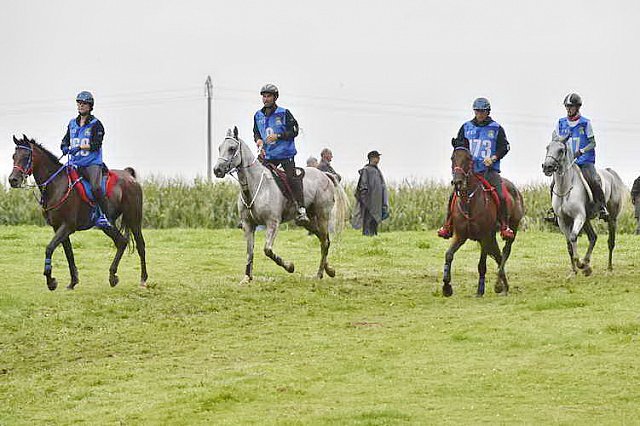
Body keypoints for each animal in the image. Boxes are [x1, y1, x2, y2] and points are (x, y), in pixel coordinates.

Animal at [212, 128, 348, 284]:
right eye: (219, 148)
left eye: (232, 149)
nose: (217, 170)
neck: (254, 186)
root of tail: (325, 175)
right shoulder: (248, 225)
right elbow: (249, 252)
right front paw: (247, 277)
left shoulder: (272, 223)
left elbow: (267, 250)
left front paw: (290, 266)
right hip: (308, 221)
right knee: (323, 239)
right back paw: (329, 270)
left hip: (322, 216)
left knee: (325, 242)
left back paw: (319, 274)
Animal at [442, 148, 524, 298]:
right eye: (452, 158)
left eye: (468, 159)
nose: (457, 181)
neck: (469, 201)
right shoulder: (460, 236)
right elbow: (449, 255)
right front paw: (446, 287)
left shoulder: (485, 236)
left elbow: (481, 265)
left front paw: (480, 290)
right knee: (498, 255)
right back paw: (504, 286)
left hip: (512, 228)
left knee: (505, 252)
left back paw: (499, 285)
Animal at [540, 136, 624, 276]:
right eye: (547, 147)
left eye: (561, 150)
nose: (547, 167)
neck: (565, 188)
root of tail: (610, 173)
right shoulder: (563, 220)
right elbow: (569, 245)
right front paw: (574, 271)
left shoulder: (579, 217)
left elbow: (573, 237)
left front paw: (579, 264)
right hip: (587, 220)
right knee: (593, 237)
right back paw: (587, 264)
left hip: (611, 219)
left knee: (610, 242)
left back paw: (608, 268)